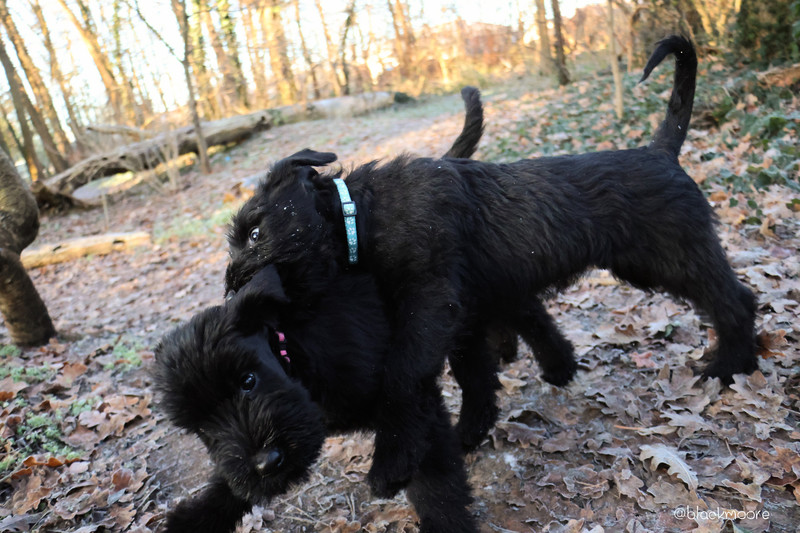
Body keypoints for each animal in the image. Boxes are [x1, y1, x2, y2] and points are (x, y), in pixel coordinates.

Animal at [223, 35, 759, 501]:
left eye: (254, 233)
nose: (233, 295)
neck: (361, 214)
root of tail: (661, 151)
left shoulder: (431, 304)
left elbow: (403, 375)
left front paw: (392, 463)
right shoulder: (463, 317)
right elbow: (474, 376)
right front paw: (470, 431)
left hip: (673, 258)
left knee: (735, 299)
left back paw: (729, 365)